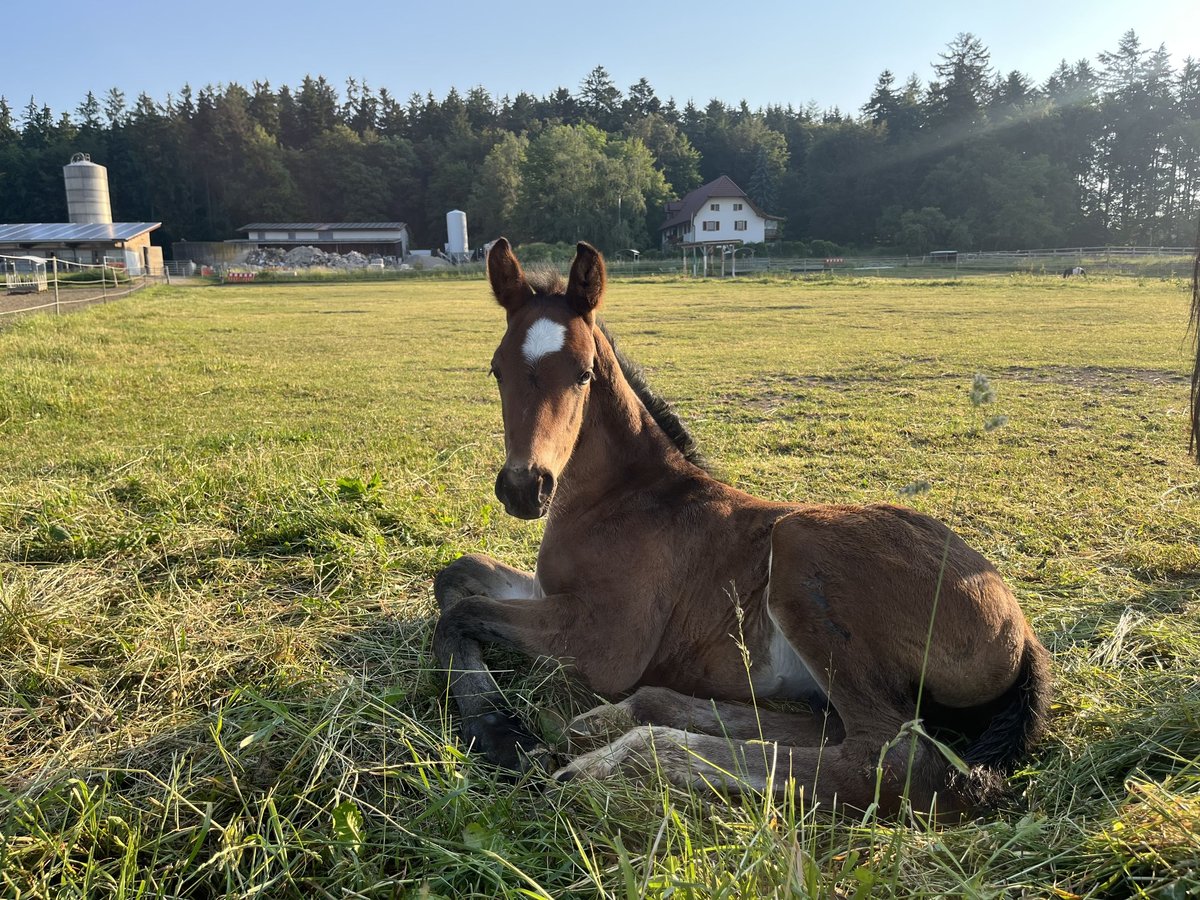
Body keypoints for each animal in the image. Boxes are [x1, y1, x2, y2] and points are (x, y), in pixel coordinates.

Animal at [434, 237, 1051, 816]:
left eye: (583, 374)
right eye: (496, 369)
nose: (524, 487)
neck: (621, 498)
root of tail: (1022, 635)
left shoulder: (606, 643)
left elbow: (461, 614)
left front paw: (505, 735)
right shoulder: (547, 592)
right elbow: (456, 578)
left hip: (802, 543)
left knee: (889, 759)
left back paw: (618, 759)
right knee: (828, 728)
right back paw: (618, 722)